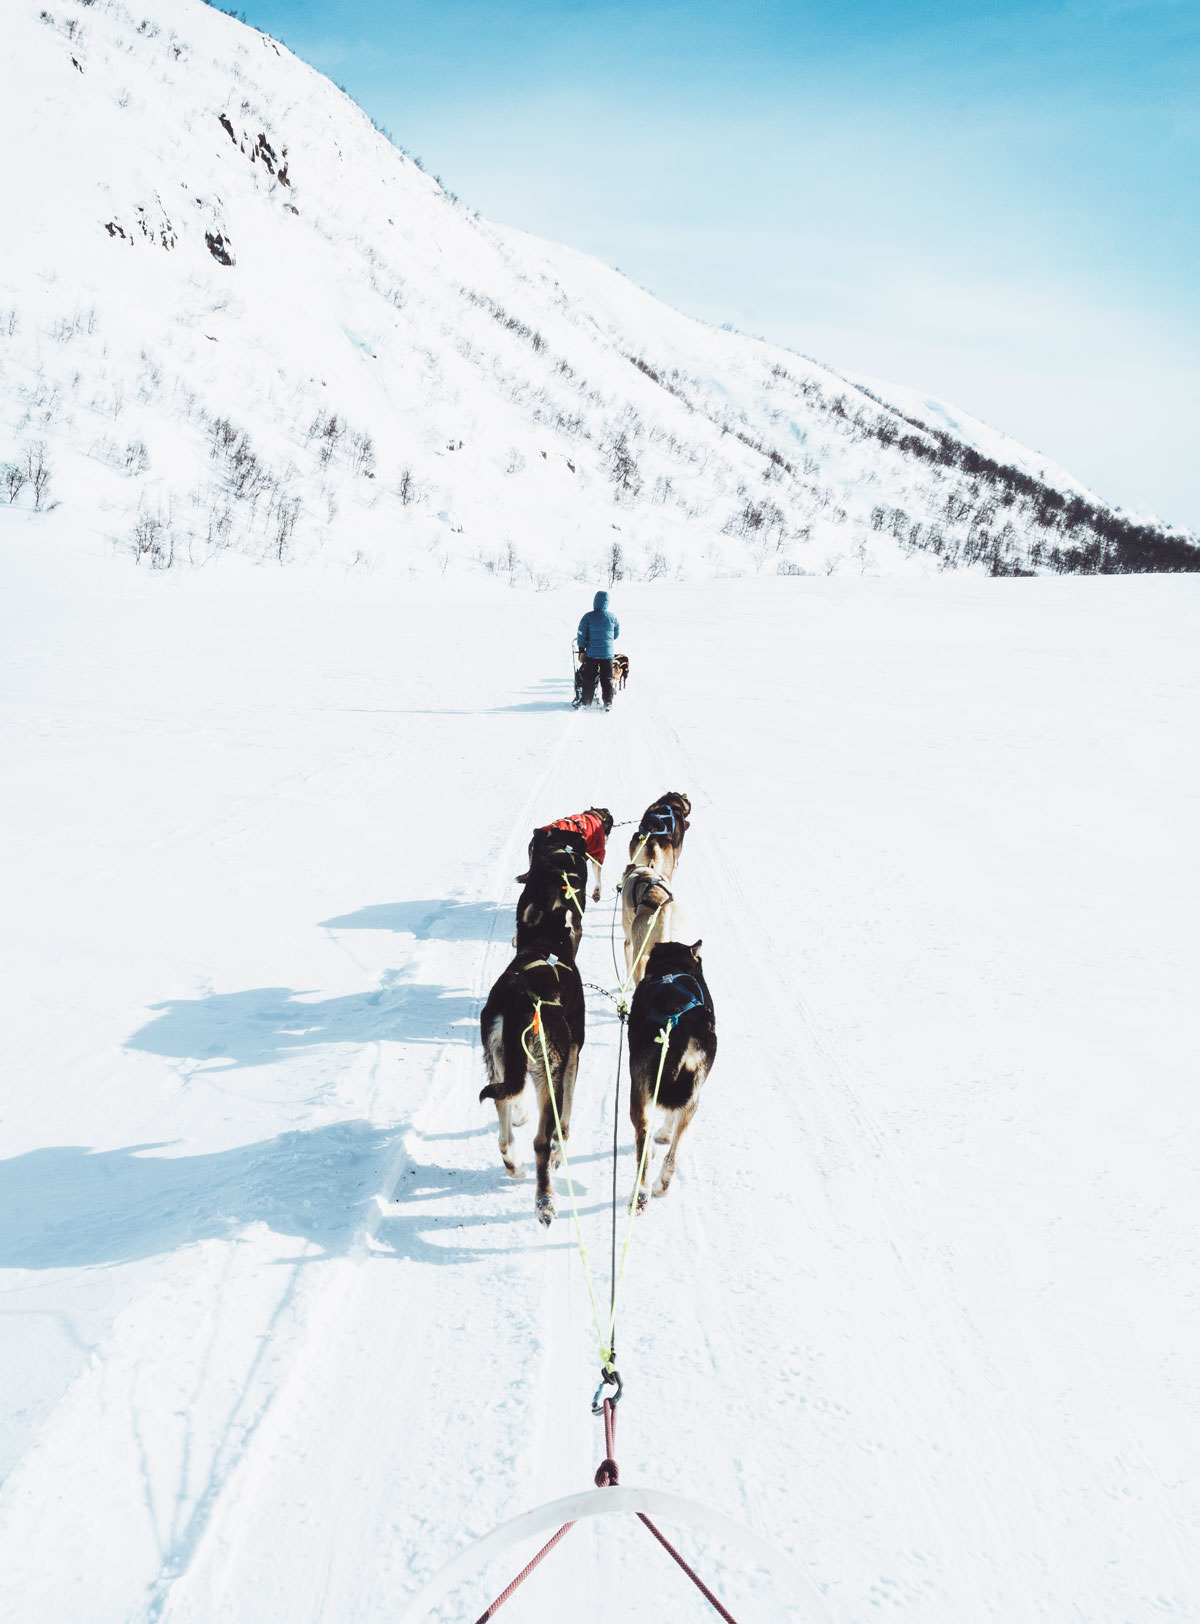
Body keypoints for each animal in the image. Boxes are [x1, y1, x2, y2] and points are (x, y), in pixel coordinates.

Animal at [480, 922, 587, 1221]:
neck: (544, 943)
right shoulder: (573, 1054)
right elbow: (564, 1121)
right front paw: (560, 1150)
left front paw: (521, 1114)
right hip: (550, 1073)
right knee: (540, 1142)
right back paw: (545, 1200)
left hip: (498, 1064)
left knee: (504, 1135)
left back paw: (515, 1167)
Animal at [630, 941, 714, 1208]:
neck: (673, 967)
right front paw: (665, 1134)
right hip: (693, 1097)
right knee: (674, 1150)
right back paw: (662, 1183)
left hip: (639, 1090)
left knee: (643, 1138)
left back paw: (642, 1189)